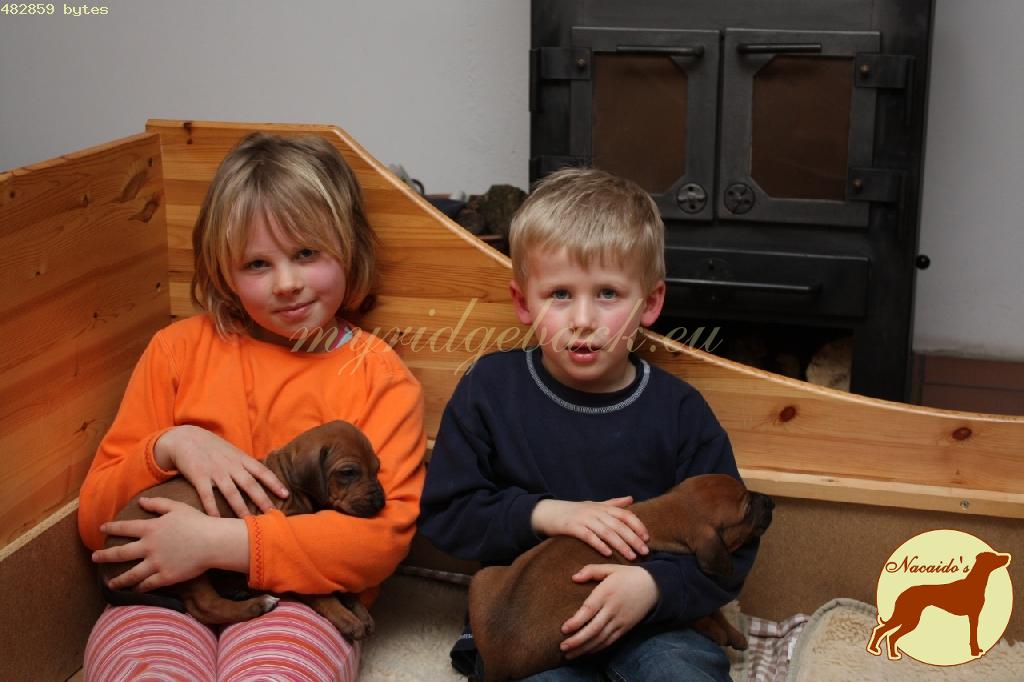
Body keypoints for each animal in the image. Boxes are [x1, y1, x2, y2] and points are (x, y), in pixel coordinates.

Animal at [100, 420, 385, 640]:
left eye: (377, 468)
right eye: (348, 472)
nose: (381, 501)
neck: (291, 485)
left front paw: (358, 609)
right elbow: (320, 592)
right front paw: (346, 617)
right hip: (183, 561)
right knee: (205, 606)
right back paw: (257, 604)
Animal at [467, 474, 774, 681]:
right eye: (747, 509)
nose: (770, 501)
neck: (659, 517)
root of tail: (496, 663)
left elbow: (712, 606)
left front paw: (734, 633)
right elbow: (695, 614)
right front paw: (718, 631)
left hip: (483, 577)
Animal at [866, 551, 1011, 660]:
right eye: (994, 556)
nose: (1008, 557)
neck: (975, 584)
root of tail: (903, 593)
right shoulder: (973, 616)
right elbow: (973, 636)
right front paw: (975, 652)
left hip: (906, 617)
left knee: (887, 633)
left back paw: (885, 652)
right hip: (909, 618)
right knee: (886, 633)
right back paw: (881, 651)